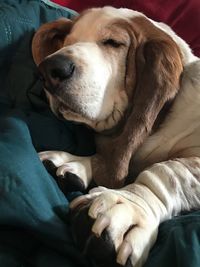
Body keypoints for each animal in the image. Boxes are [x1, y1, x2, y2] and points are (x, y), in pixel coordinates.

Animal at [31, 7, 200, 267]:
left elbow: (170, 172)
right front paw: (76, 163)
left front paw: (131, 205)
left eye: (113, 43)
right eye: (68, 42)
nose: (50, 70)